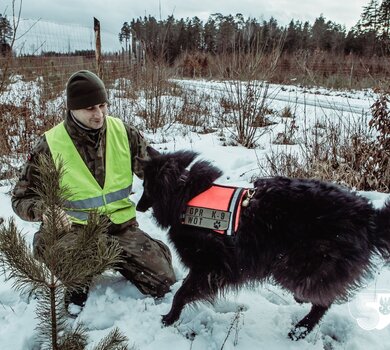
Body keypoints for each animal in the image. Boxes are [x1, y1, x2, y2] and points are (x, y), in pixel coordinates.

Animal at [136, 148, 390, 340]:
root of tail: (368, 216)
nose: (137, 207)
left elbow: (182, 293)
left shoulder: (210, 267)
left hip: (294, 265)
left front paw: (170, 318)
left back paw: (301, 329)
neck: (184, 194)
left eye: (146, 187)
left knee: (322, 301)